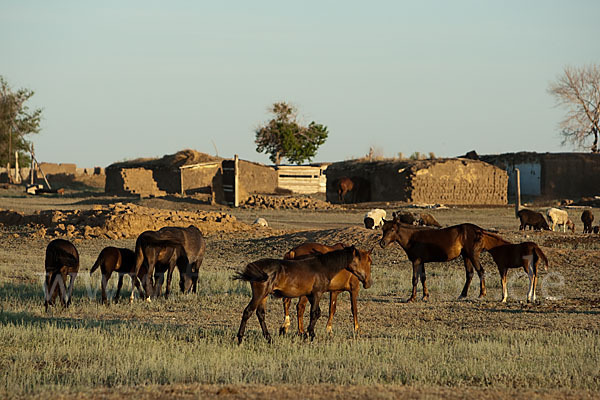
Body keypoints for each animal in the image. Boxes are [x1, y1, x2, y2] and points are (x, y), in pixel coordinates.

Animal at [233, 247, 370, 344]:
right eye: (360, 262)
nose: (366, 281)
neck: (323, 267)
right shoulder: (317, 293)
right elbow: (314, 313)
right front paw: (310, 335)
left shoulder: (310, 295)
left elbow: (316, 313)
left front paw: (307, 333)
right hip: (259, 294)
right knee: (248, 311)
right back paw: (239, 338)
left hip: (264, 296)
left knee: (260, 314)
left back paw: (269, 338)